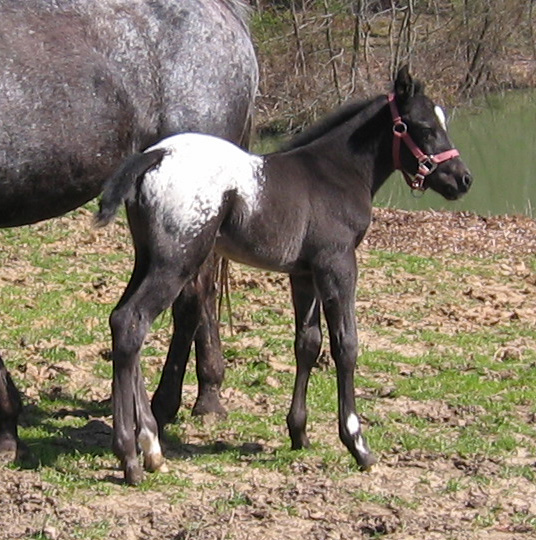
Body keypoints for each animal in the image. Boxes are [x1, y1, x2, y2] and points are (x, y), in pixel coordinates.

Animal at [0, 0, 258, 464]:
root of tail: (223, 12)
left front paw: (7, 428)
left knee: (190, 300)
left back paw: (165, 408)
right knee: (192, 297)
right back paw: (202, 398)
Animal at [96, 67, 474, 486]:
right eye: (423, 127)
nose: (462, 179)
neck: (335, 173)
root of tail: (157, 154)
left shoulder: (303, 274)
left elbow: (307, 344)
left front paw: (299, 433)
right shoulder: (338, 263)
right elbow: (346, 345)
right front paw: (357, 444)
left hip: (147, 258)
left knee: (122, 321)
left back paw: (151, 447)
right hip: (175, 263)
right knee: (132, 322)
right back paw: (131, 457)